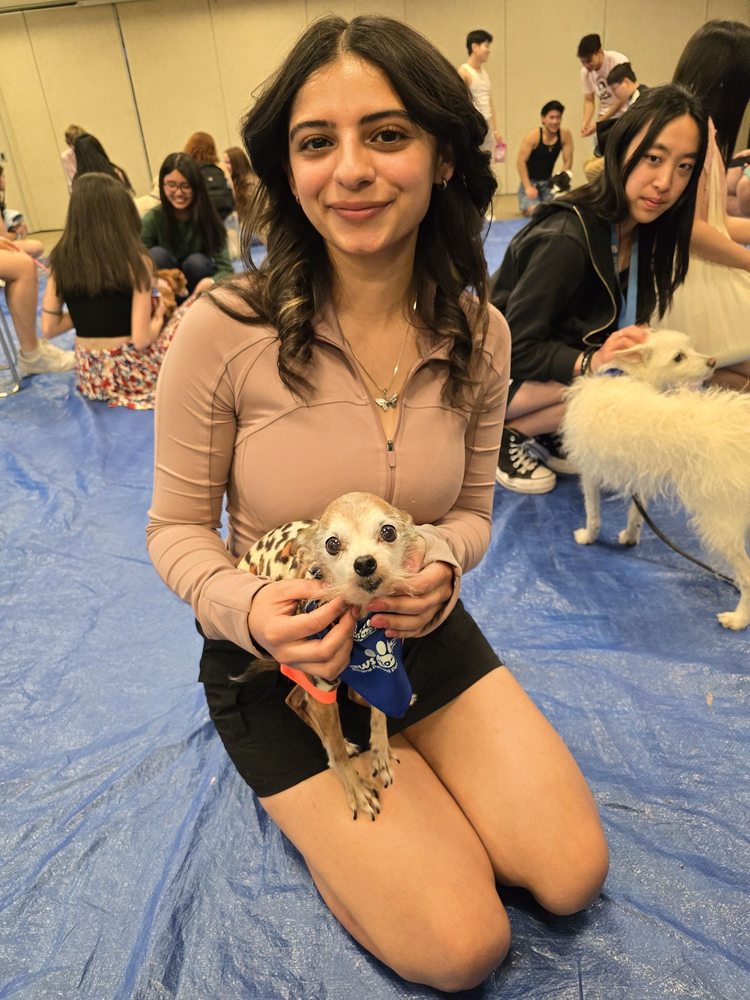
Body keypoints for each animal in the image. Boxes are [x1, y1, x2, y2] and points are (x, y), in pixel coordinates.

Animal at [564, 328, 750, 628]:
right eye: (678, 357)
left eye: (689, 349)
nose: (712, 361)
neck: (625, 374)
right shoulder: (640, 477)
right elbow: (635, 515)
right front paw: (630, 537)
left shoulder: (589, 473)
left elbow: (593, 515)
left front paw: (587, 538)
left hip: (720, 522)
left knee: (747, 577)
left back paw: (739, 619)